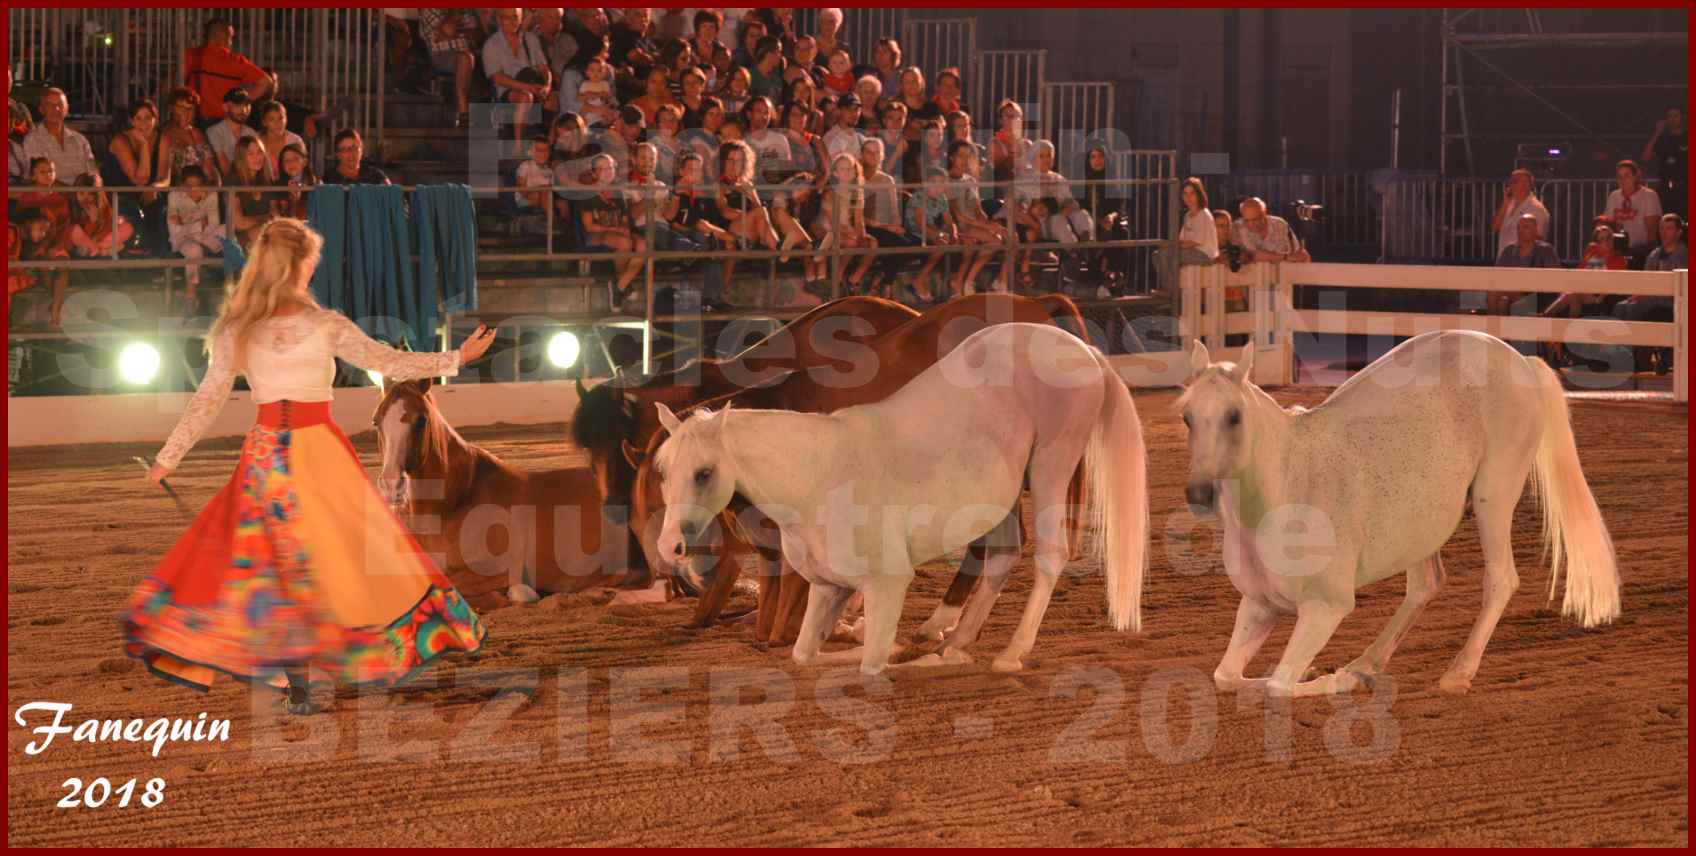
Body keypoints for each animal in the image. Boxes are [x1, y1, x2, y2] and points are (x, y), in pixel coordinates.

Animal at [647, 320, 1153, 674]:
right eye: (662, 471)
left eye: (704, 473)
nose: (670, 547)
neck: (817, 477)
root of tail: (1084, 349)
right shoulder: (827, 589)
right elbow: (805, 655)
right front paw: (907, 646)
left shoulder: (888, 586)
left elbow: (872, 664)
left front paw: (908, 651)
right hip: (1004, 497)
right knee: (1003, 556)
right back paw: (955, 641)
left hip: (1051, 465)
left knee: (1050, 555)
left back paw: (1008, 653)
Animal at [1187, 330, 1621, 698]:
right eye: (1186, 417)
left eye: (1234, 416)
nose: (1198, 493)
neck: (1286, 488)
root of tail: (1521, 360)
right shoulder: (1259, 605)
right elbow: (1226, 676)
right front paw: (1329, 672)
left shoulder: (1326, 607)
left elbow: (1279, 685)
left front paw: (1337, 680)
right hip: (1423, 526)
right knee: (1425, 585)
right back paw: (1366, 663)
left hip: (1494, 498)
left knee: (1500, 580)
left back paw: (1456, 673)